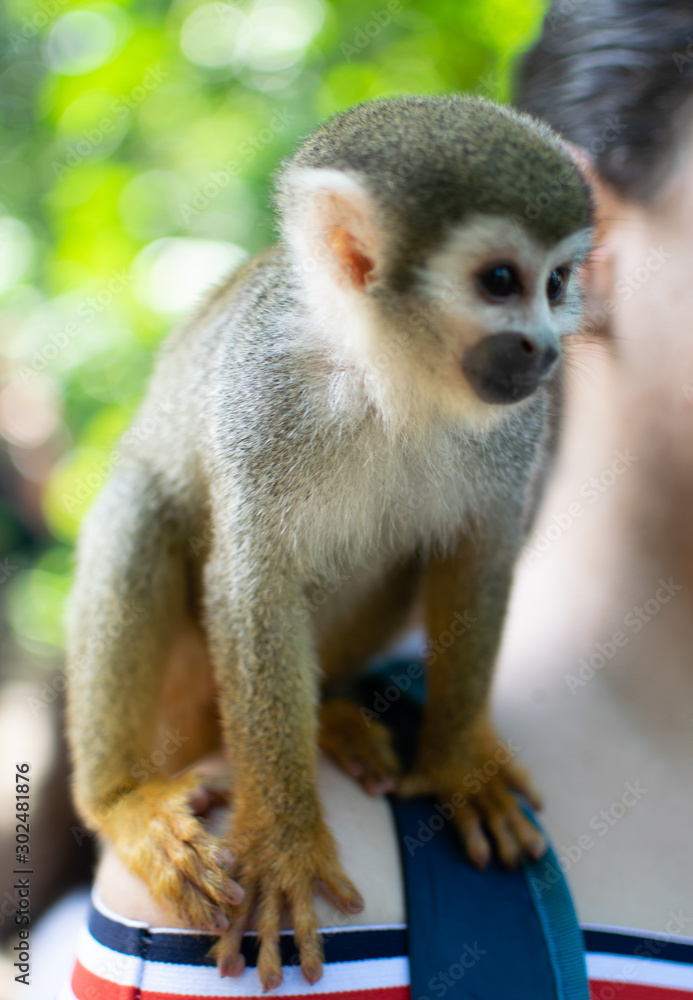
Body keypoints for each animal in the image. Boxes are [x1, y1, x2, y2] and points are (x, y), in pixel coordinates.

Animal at [67, 95, 592, 992]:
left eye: (556, 283)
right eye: (500, 282)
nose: (547, 348)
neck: (387, 379)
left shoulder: (520, 423)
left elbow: (476, 555)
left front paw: (457, 761)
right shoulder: (263, 397)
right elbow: (255, 587)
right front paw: (283, 845)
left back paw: (336, 718)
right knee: (142, 509)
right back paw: (122, 800)